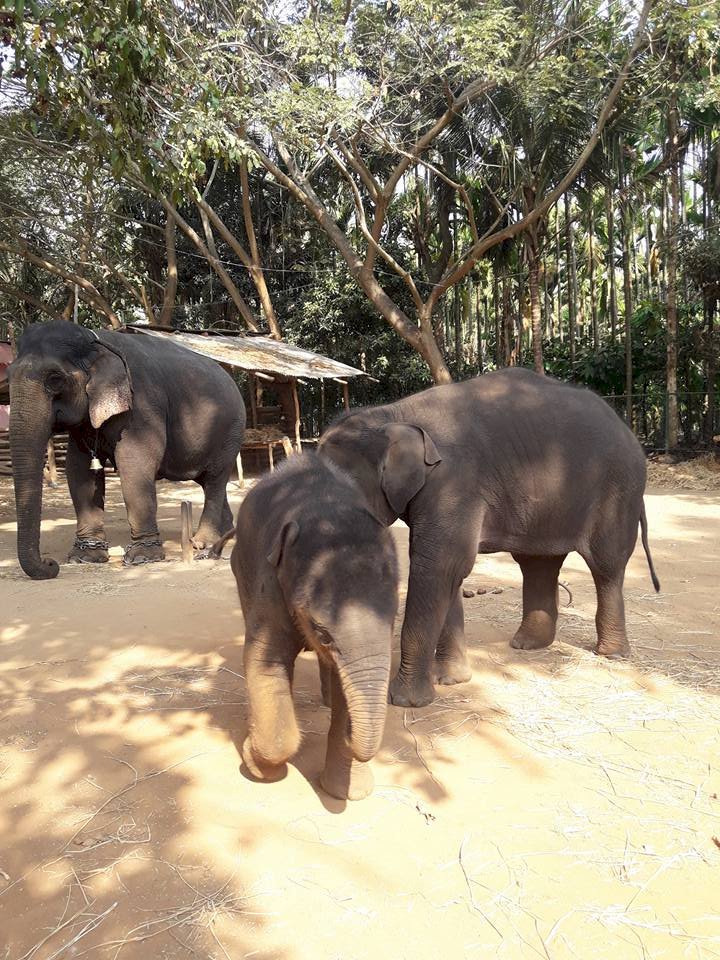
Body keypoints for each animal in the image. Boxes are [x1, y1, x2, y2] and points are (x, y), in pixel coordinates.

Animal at [8, 320, 245, 579]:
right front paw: (84, 557)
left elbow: (135, 462)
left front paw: (143, 557)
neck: (96, 341)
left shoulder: (141, 403)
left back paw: (202, 544)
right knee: (209, 482)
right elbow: (79, 469)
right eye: (8, 377)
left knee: (215, 479)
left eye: (55, 378)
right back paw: (227, 535)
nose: (50, 564)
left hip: (230, 432)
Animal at [224, 454, 399, 801]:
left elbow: (347, 683)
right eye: (322, 633)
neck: (326, 510)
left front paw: (347, 793)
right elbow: (264, 661)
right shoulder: (270, 582)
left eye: (393, 621)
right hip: (241, 569)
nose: (352, 733)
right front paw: (254, 764)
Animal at [318, 367, 660, 708]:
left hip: (617, 492)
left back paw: (611, 654)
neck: (390, 414)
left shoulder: (454, 484)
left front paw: (406, 701)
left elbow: (441, 566)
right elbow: (448, 571)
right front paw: (451, 680)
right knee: (538, 563)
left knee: (605, 565)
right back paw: (528, 645)